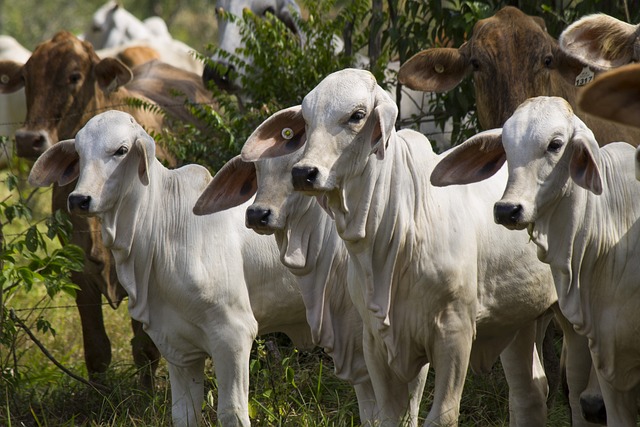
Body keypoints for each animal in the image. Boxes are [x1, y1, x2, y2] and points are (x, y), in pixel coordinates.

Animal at [0, 30, 212, 388]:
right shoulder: (80, 275)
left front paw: (148, 393)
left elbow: (145, 349)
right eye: (26, 77)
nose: (29, 139)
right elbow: (97, 352)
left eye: (74, 76)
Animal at [27, 111, 312, 427]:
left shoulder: (233, 334)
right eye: (79, 153)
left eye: (121, 150)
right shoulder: (177, 346)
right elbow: (183, 414)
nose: (79, 199)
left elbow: (231, 412)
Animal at [239, 68, 560, 427]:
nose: (305, 173)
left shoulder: (453, 333)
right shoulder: (376, 342)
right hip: (520, 318)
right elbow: (390, 417)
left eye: (357, 115)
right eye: (306, 121)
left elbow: (440, 417)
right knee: (529, 392)